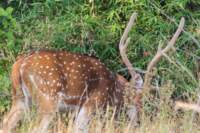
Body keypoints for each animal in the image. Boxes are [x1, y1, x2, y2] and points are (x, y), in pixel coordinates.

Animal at [0, 12, 184, 133]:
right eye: (139, 101)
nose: (138, 121)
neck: (113, 90)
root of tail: (19, 66)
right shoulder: (90, 105)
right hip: (48, 98)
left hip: (20, 98)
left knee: (6, 124)